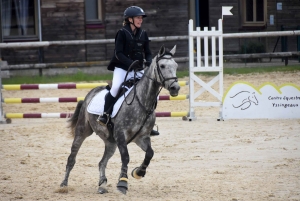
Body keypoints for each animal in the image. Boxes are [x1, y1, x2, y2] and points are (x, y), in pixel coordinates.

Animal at [59, 44, 179, 194]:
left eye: (176, 65)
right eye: (162, 66)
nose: (175, 88)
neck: (142, 102)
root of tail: (90, 93)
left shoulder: (141, 137)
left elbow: (150, 153)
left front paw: (138, 172)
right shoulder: (121, 135)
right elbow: (126, 157)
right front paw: (122, 183)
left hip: (111, 143)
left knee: (102, 162)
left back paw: (102, 184)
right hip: (82, 131)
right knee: (72, 158)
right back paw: (64, 185)